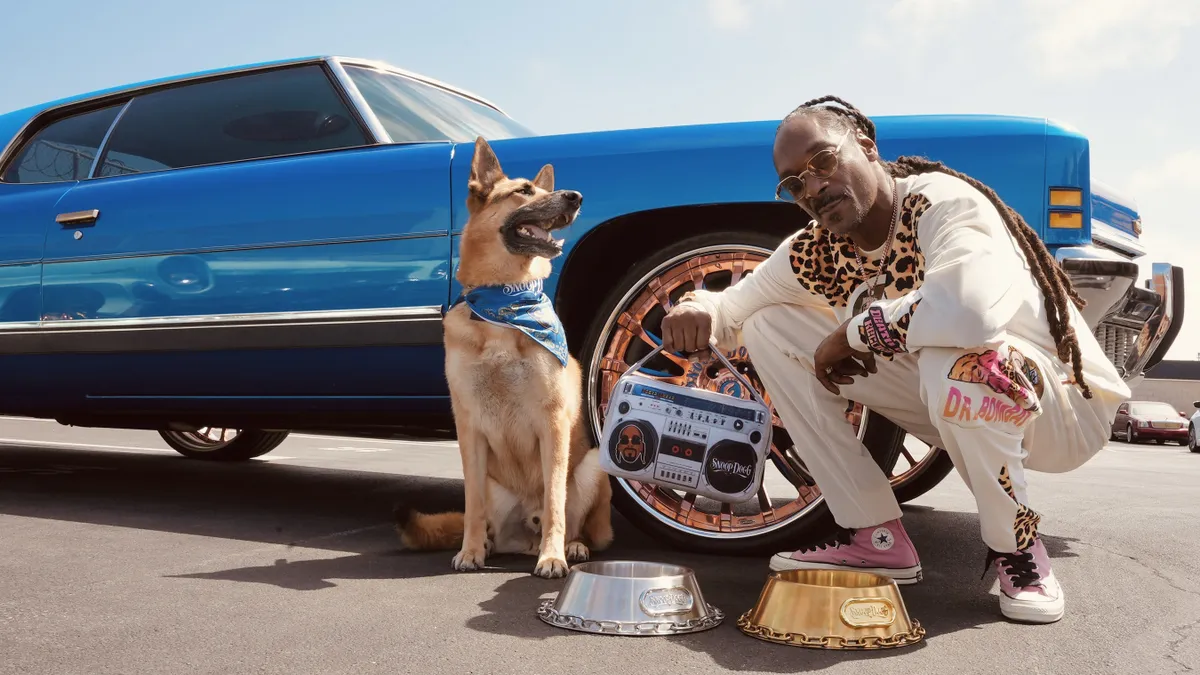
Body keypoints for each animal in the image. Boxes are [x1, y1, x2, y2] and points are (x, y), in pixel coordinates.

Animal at [396, 138, 614, 578]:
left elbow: (555, 502)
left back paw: (569, 546)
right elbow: (471, 505)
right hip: (495, 485)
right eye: (525, 191)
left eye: (544, 188)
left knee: (574, 522)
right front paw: (470, 550)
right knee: (491, 522)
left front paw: (554, 556)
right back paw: (491, 545)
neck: (505, 301)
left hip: (592, 466)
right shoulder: (468, 429)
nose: (576, 197)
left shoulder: (553, 423)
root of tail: (524, 535)